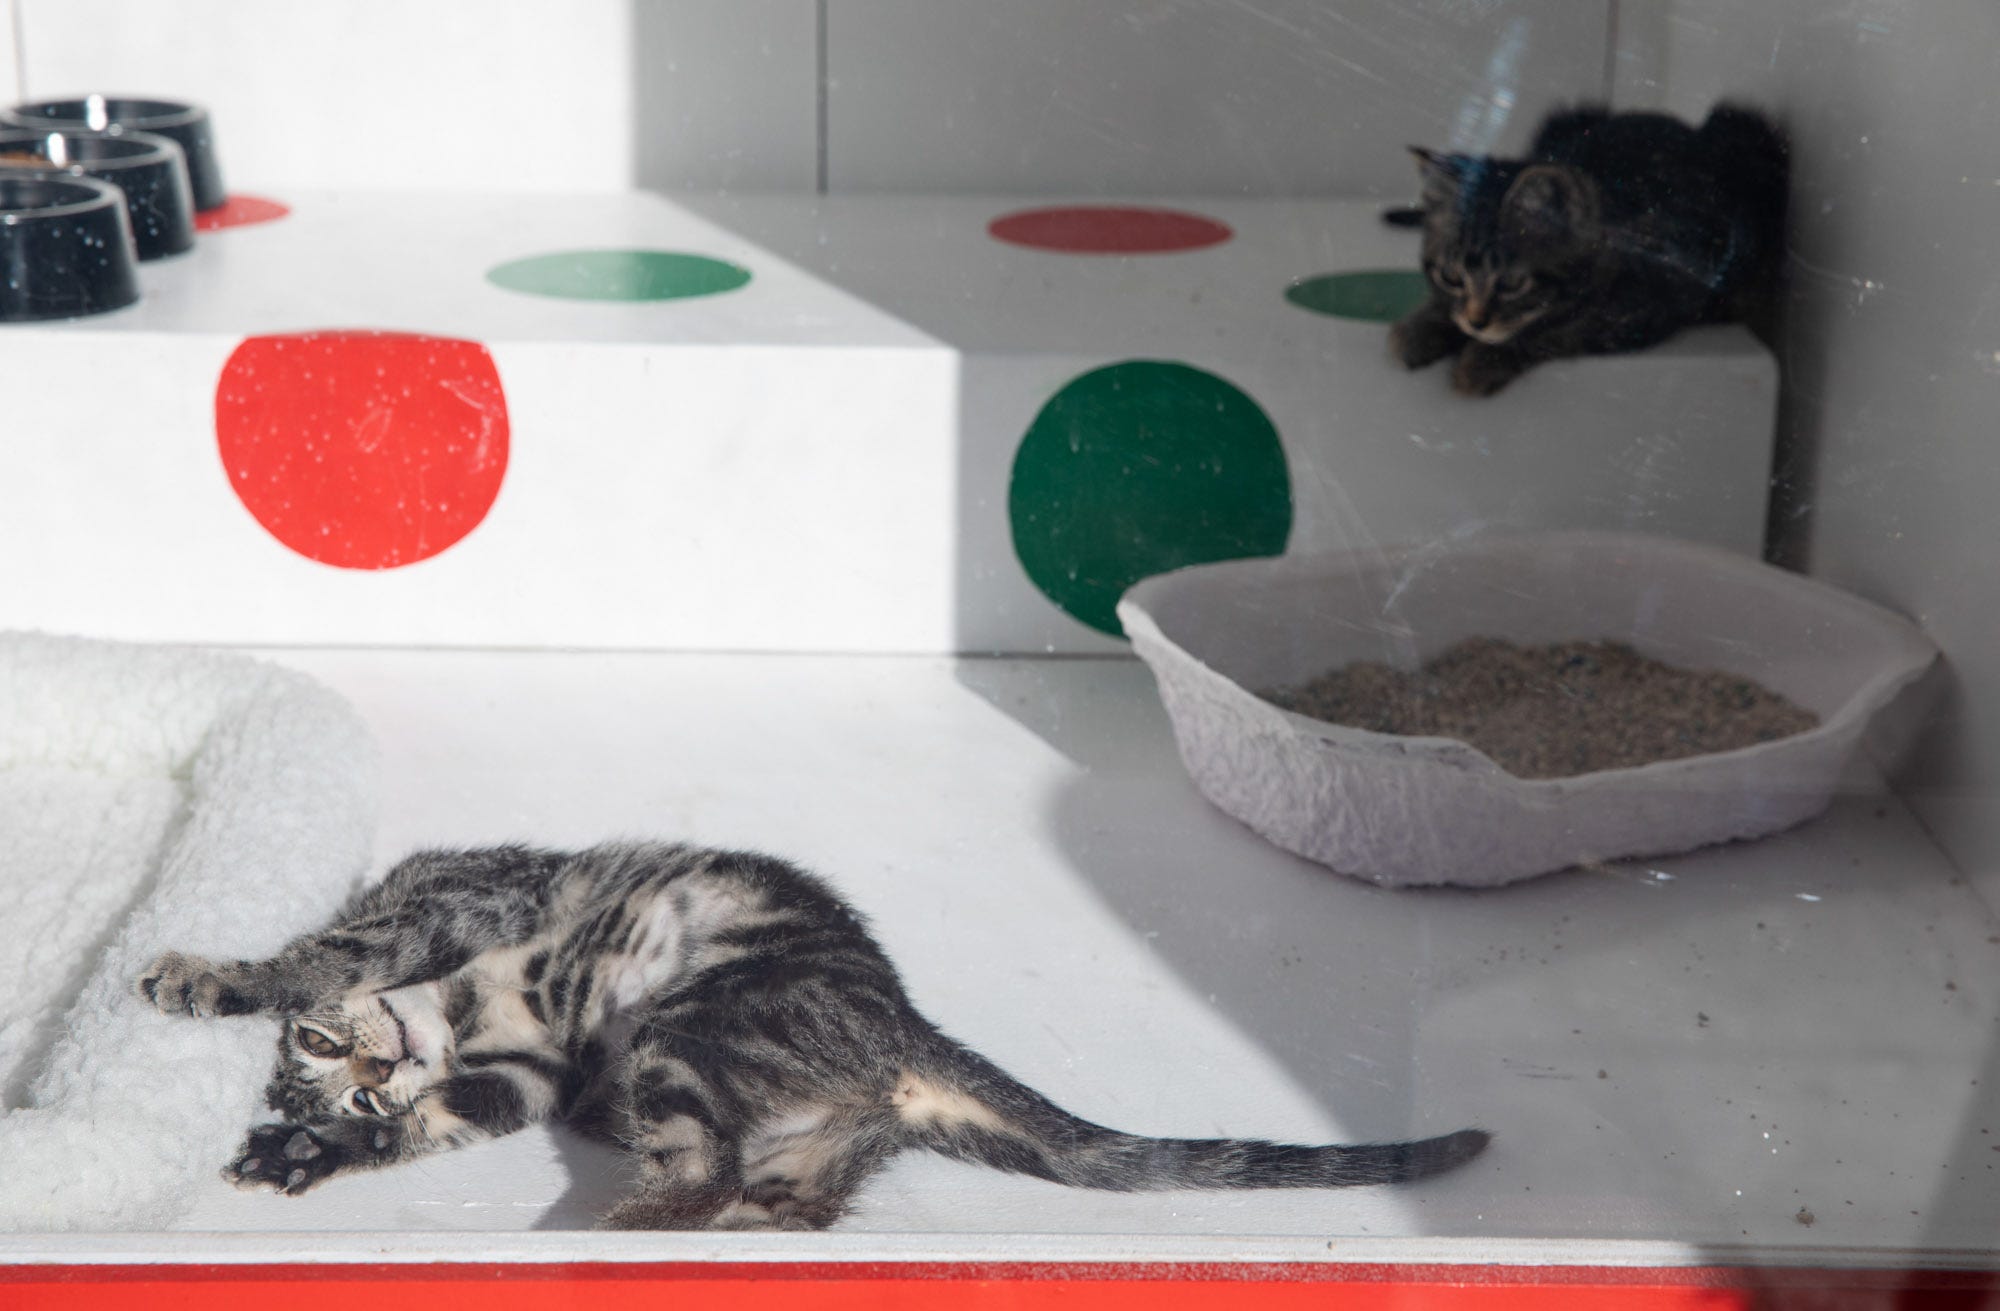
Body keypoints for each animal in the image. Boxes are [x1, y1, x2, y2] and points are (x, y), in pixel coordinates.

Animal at [137, 841, 1488, 1230]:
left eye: (330, 1057)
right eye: (352, 1090)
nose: (374, 1073)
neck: (458, 1014)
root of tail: (899, 1036)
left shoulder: (460, 903)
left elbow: (326, 954)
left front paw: (204, 976)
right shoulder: (516, 1077)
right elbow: (440, 1122)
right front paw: (308, 1153)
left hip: (684, 1021)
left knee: (705, 1173)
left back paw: (616, 1228)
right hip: (778, 1128)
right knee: (759, 1197)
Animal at [1389, 103, 1788, 396]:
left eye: (1513, 284)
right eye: (1451, 276)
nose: (1476, 322)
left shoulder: (1650, 306)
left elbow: (1560, 330)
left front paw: (1482, 361)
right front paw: (1421, 328)